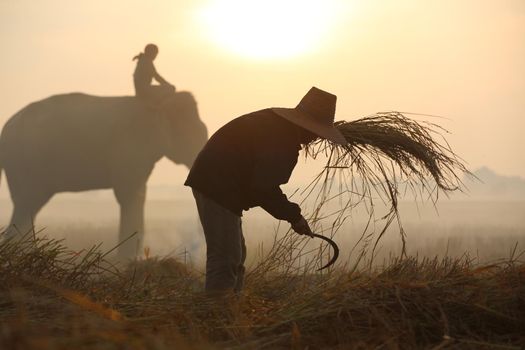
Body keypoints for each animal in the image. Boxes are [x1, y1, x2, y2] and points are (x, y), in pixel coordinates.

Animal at [0, 91, 209, 260]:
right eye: (191, 132)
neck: (157, 104)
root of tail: (7, 127)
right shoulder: (130, 149)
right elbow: (128, 195)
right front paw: (126, 262)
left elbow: (139, 194)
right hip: (26, 163)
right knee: (27, 204)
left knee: (27, 207)